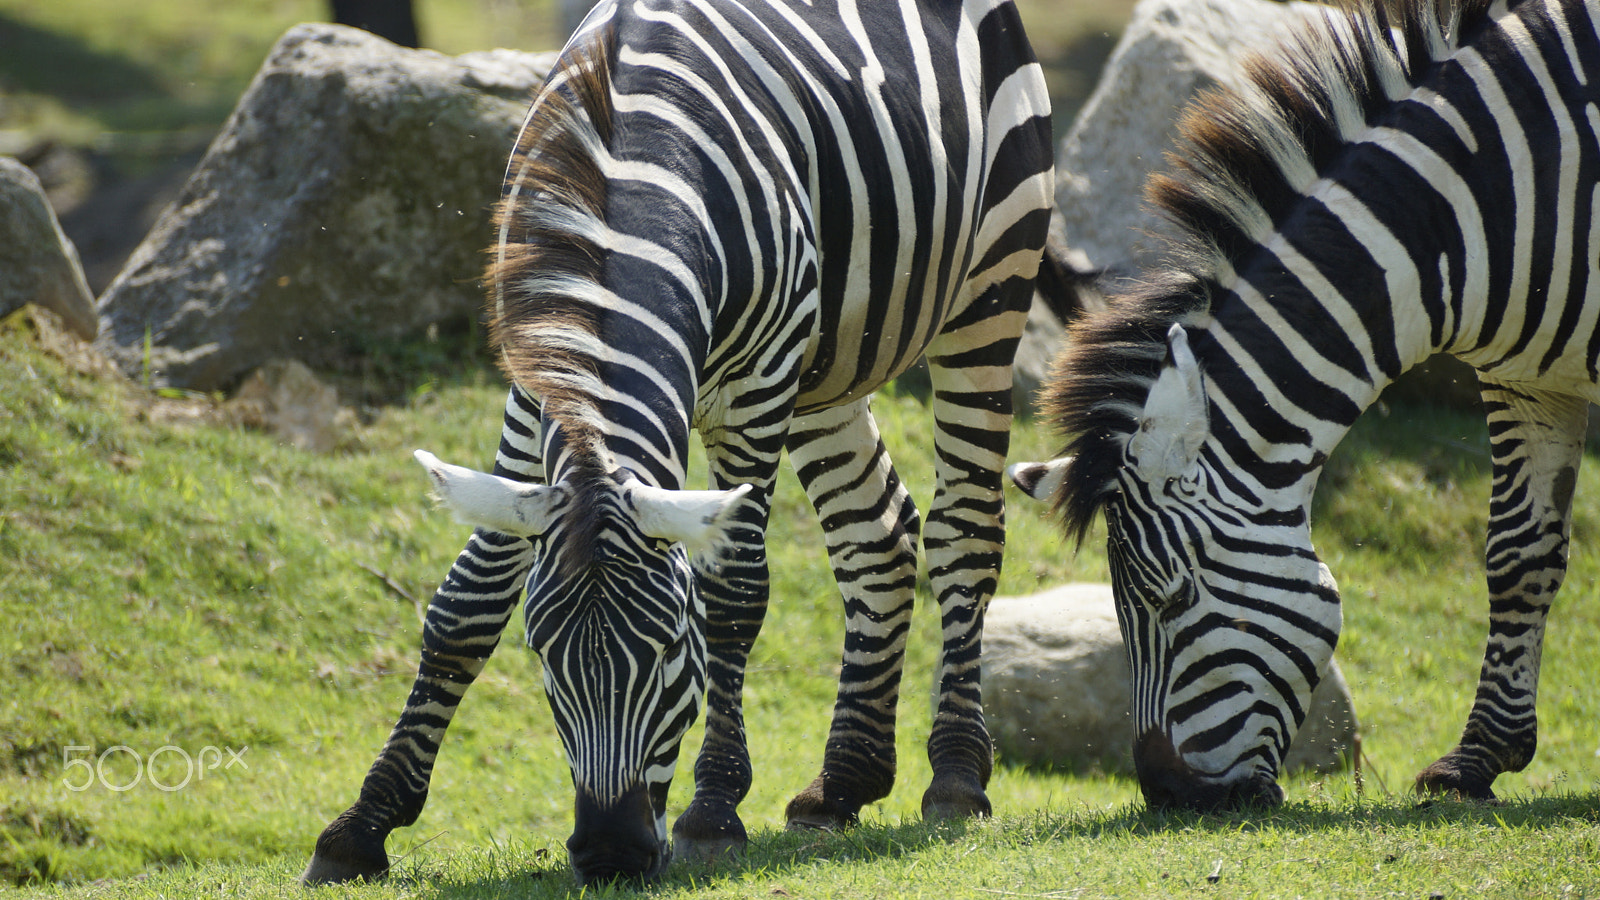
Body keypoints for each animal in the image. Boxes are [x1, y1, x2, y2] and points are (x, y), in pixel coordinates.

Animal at [303, 0, 1054, 885]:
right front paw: (363, 824)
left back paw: (958, 777)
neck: (626, 173)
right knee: (879, 538)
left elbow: (735, 594)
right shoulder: (532, 382)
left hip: (989, 285)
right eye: (544, 657)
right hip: (830, 359)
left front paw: (714, 809)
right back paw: (842, 783)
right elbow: (466, 602)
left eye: (671, 650)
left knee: (964, 527)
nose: (610, 853)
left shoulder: (757, 385)